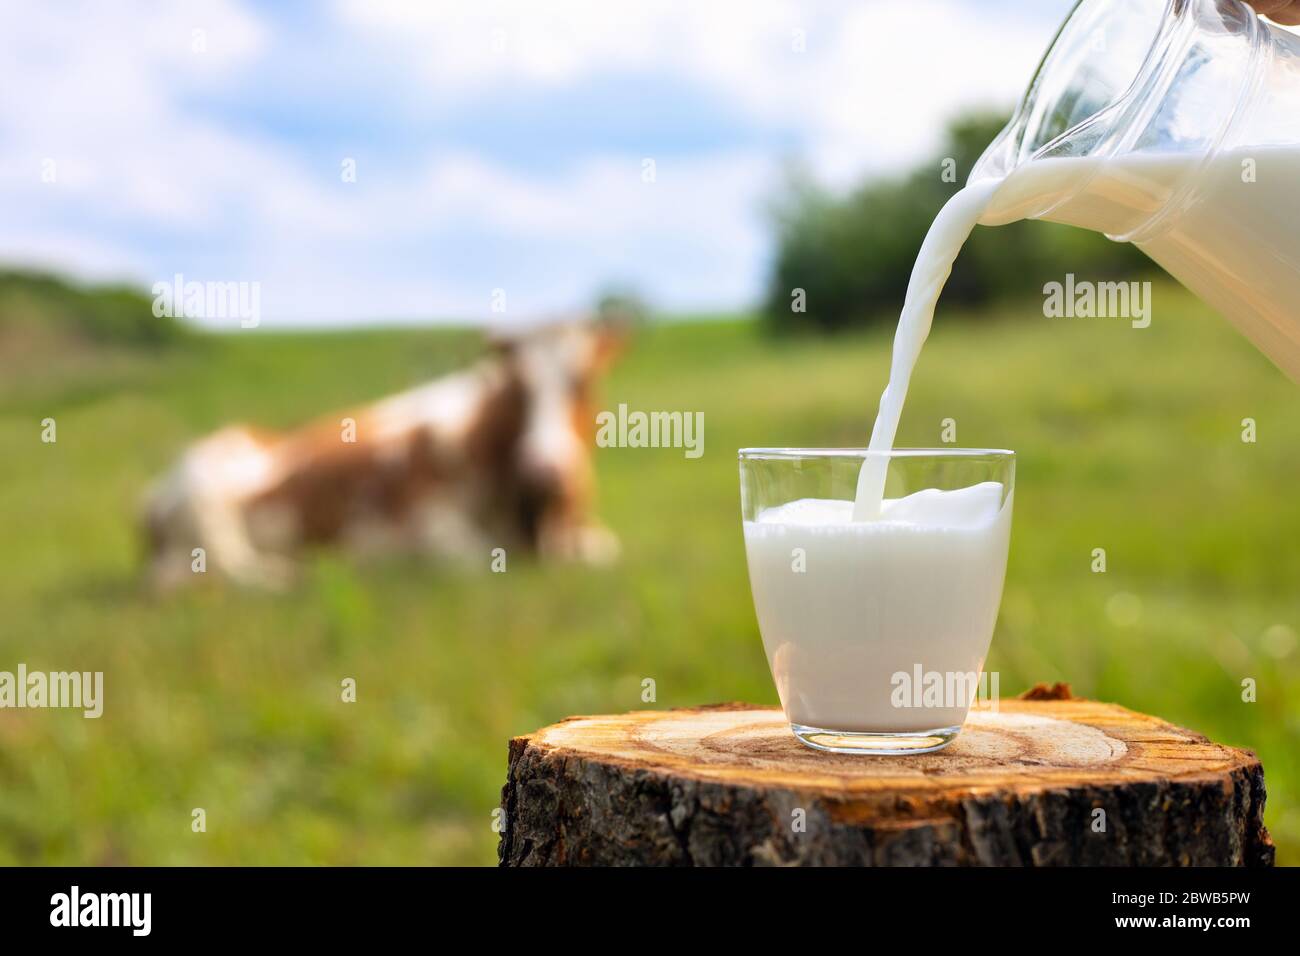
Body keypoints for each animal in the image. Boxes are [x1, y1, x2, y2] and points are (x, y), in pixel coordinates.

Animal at [142, 316, 624, 590]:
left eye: (582, 382)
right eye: (518, 386)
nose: (545, 469)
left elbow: (605, 551)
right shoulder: (418, 523)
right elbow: (472, 562)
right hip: (206, 502)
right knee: (216, 573)